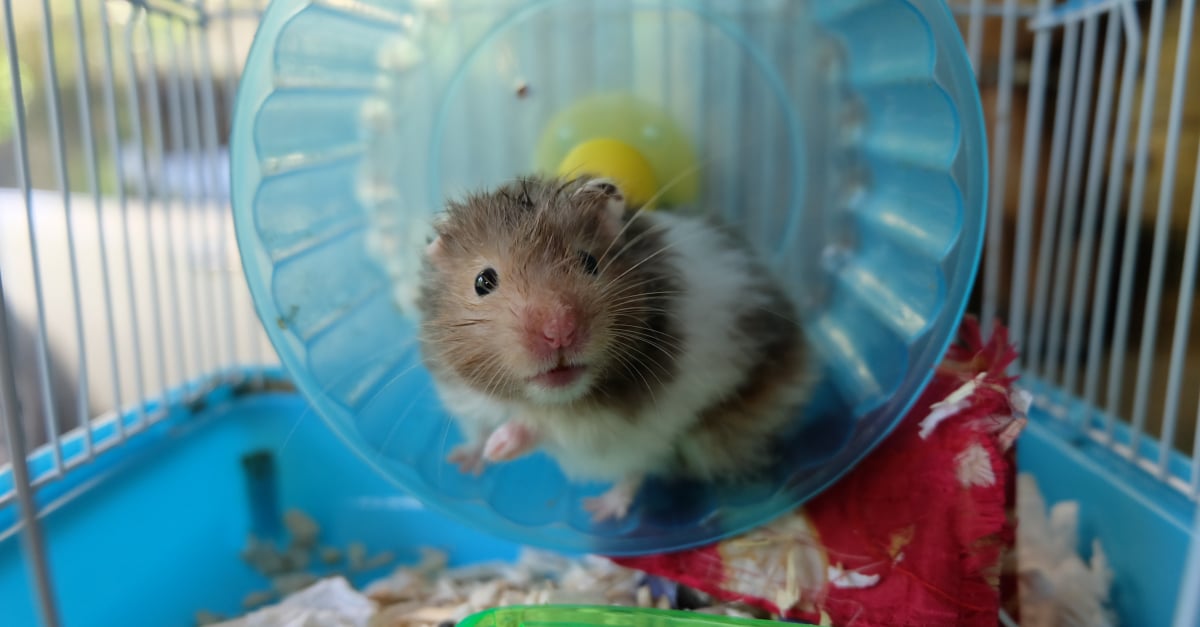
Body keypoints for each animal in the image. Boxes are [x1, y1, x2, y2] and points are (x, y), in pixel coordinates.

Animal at [415, 175, 814, 522]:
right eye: (483, 281)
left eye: (590, 262)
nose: (559, 331)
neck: (530, 398)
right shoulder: (463, 394)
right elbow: (479, 428)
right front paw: (464, 461)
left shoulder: (606, 425)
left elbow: (544, 429)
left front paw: (499, 448)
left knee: (635, 470)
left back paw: (601, 512)